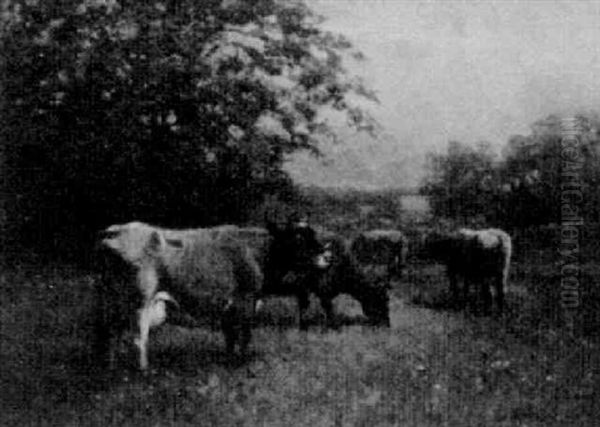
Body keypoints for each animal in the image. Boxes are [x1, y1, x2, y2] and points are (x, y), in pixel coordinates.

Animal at [94, 221, 328, 372]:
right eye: (298, 239)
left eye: (314, 235)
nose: (327, 255)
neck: (256, 251)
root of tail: (115, 230)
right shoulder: (246, 300)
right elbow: (244, 336)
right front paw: (241, 363)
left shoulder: (229, 306)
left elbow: (230, 336)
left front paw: (229, 360)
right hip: (140, 301)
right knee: (138, 339)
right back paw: (143, 371)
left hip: (111, 300)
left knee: (109, 333)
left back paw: (110, 368)